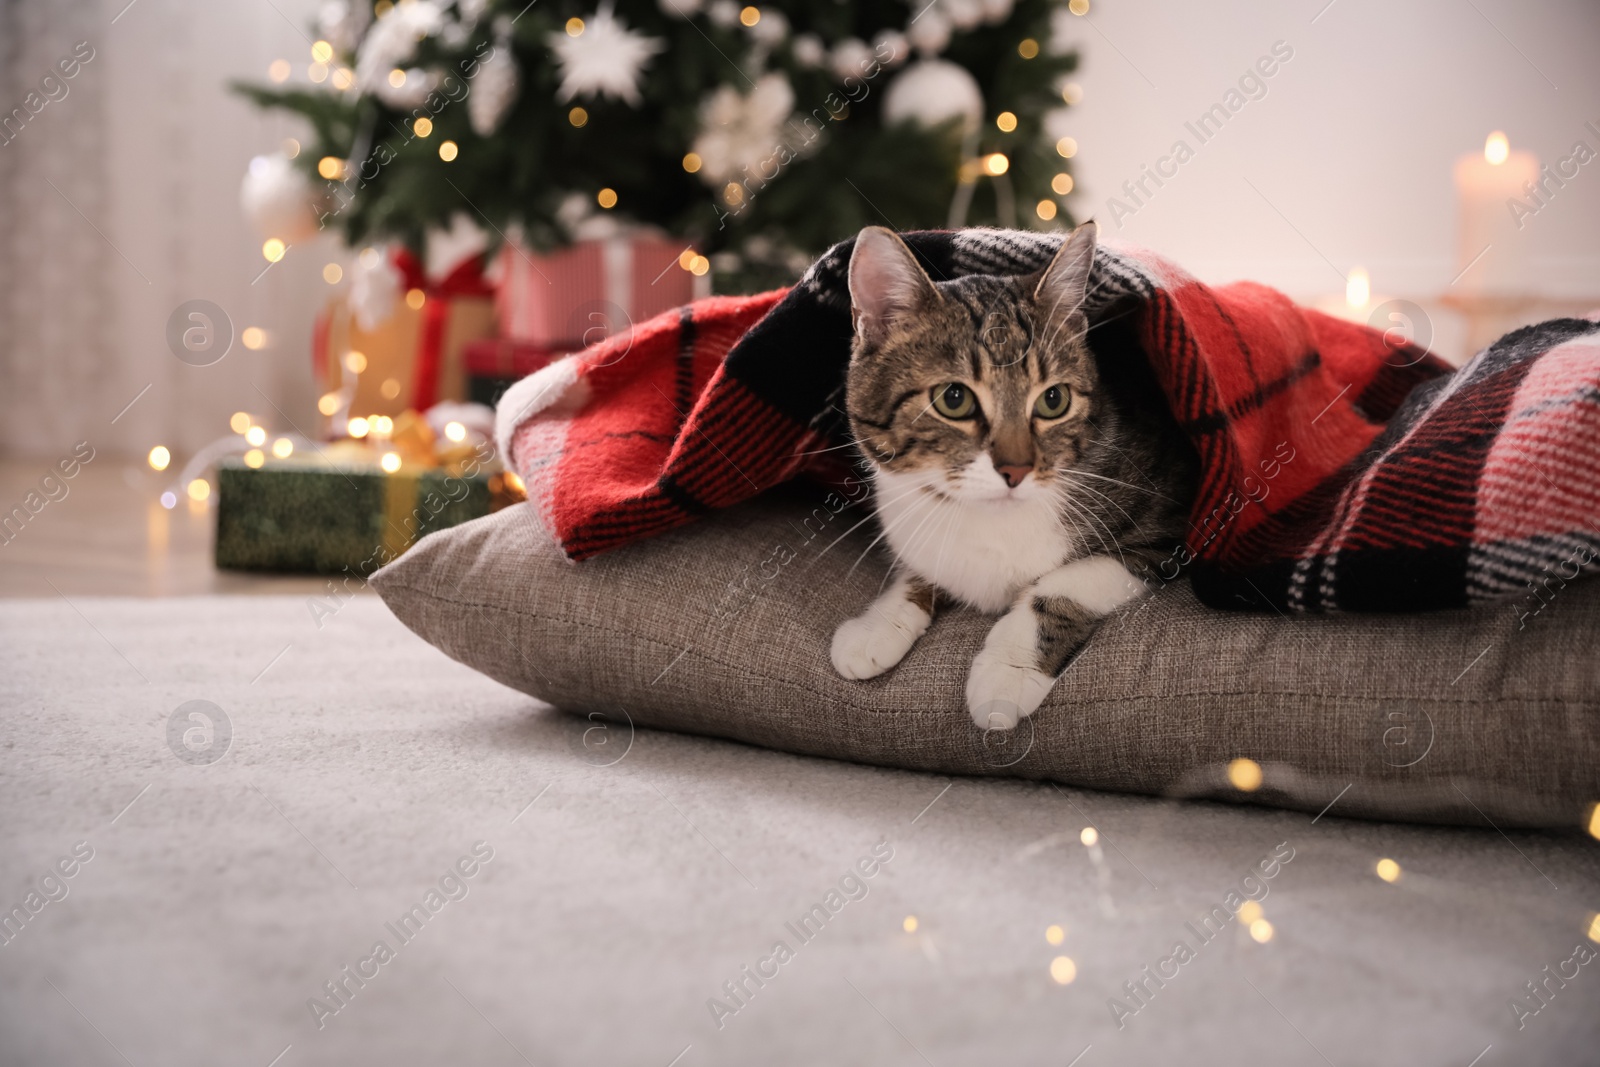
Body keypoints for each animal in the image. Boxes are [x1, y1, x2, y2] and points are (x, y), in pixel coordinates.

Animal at [832, 220, 1196, 729]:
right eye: (953, 398)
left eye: (1054, 400)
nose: (1017, 469)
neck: (990, 518)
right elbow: (921, 565)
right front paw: (876, 626)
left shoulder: (1166, 528)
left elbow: (1066, 582)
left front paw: (1009, 670)